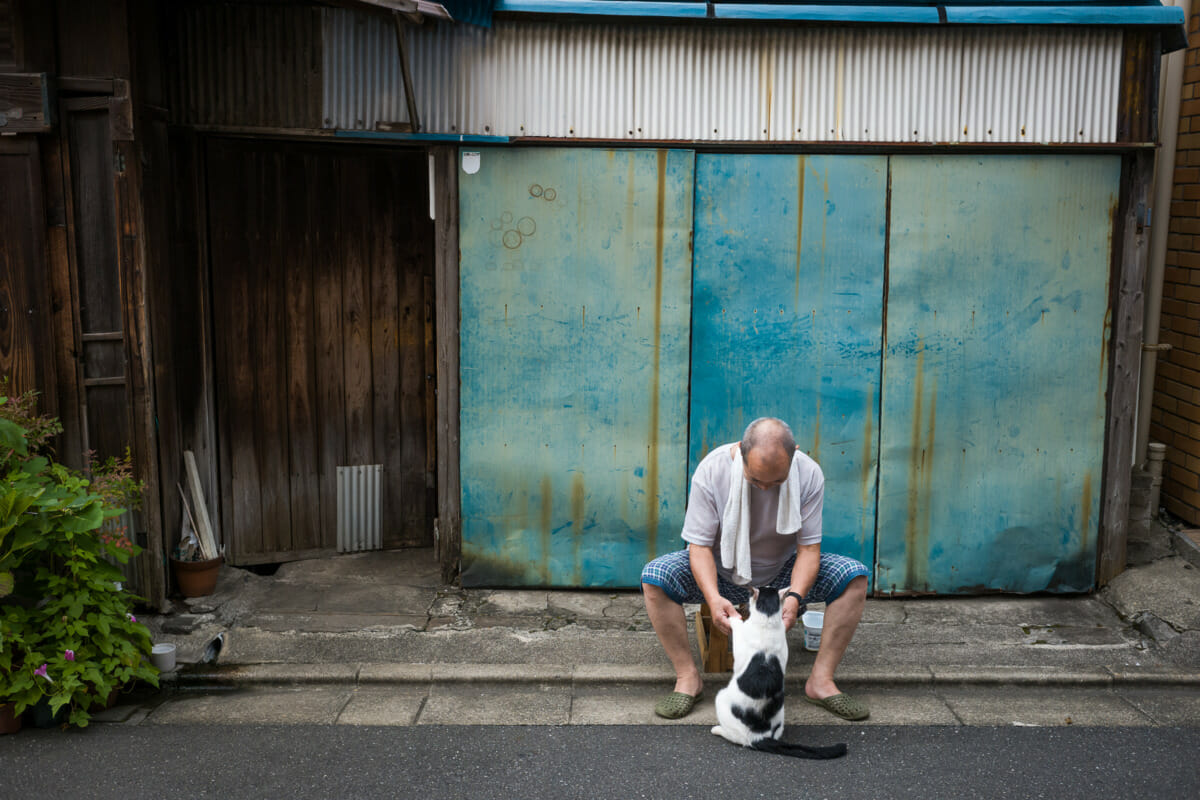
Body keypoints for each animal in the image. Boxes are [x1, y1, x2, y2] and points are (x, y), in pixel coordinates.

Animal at [710, 592, 844, 762]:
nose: (802, 604)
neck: (767, 623)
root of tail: (759, 736)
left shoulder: (741, 643)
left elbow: (737, 625)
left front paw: (732, 617)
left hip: (720, 698)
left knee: (736, 737)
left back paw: (717, 729)